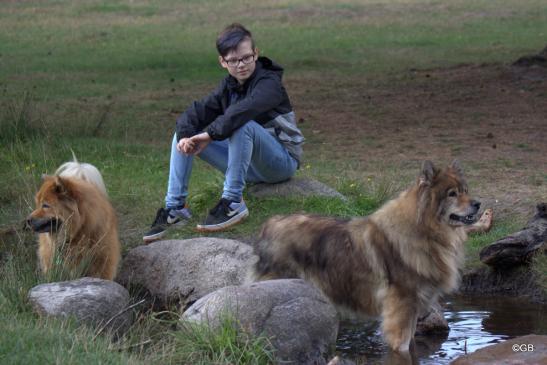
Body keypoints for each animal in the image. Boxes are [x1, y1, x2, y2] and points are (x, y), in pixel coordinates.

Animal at [253, 161, 480, 352]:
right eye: (452, 194)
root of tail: (270, 224)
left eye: (465, 191)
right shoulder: (402, 308)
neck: (422, 230)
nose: (478, 203)